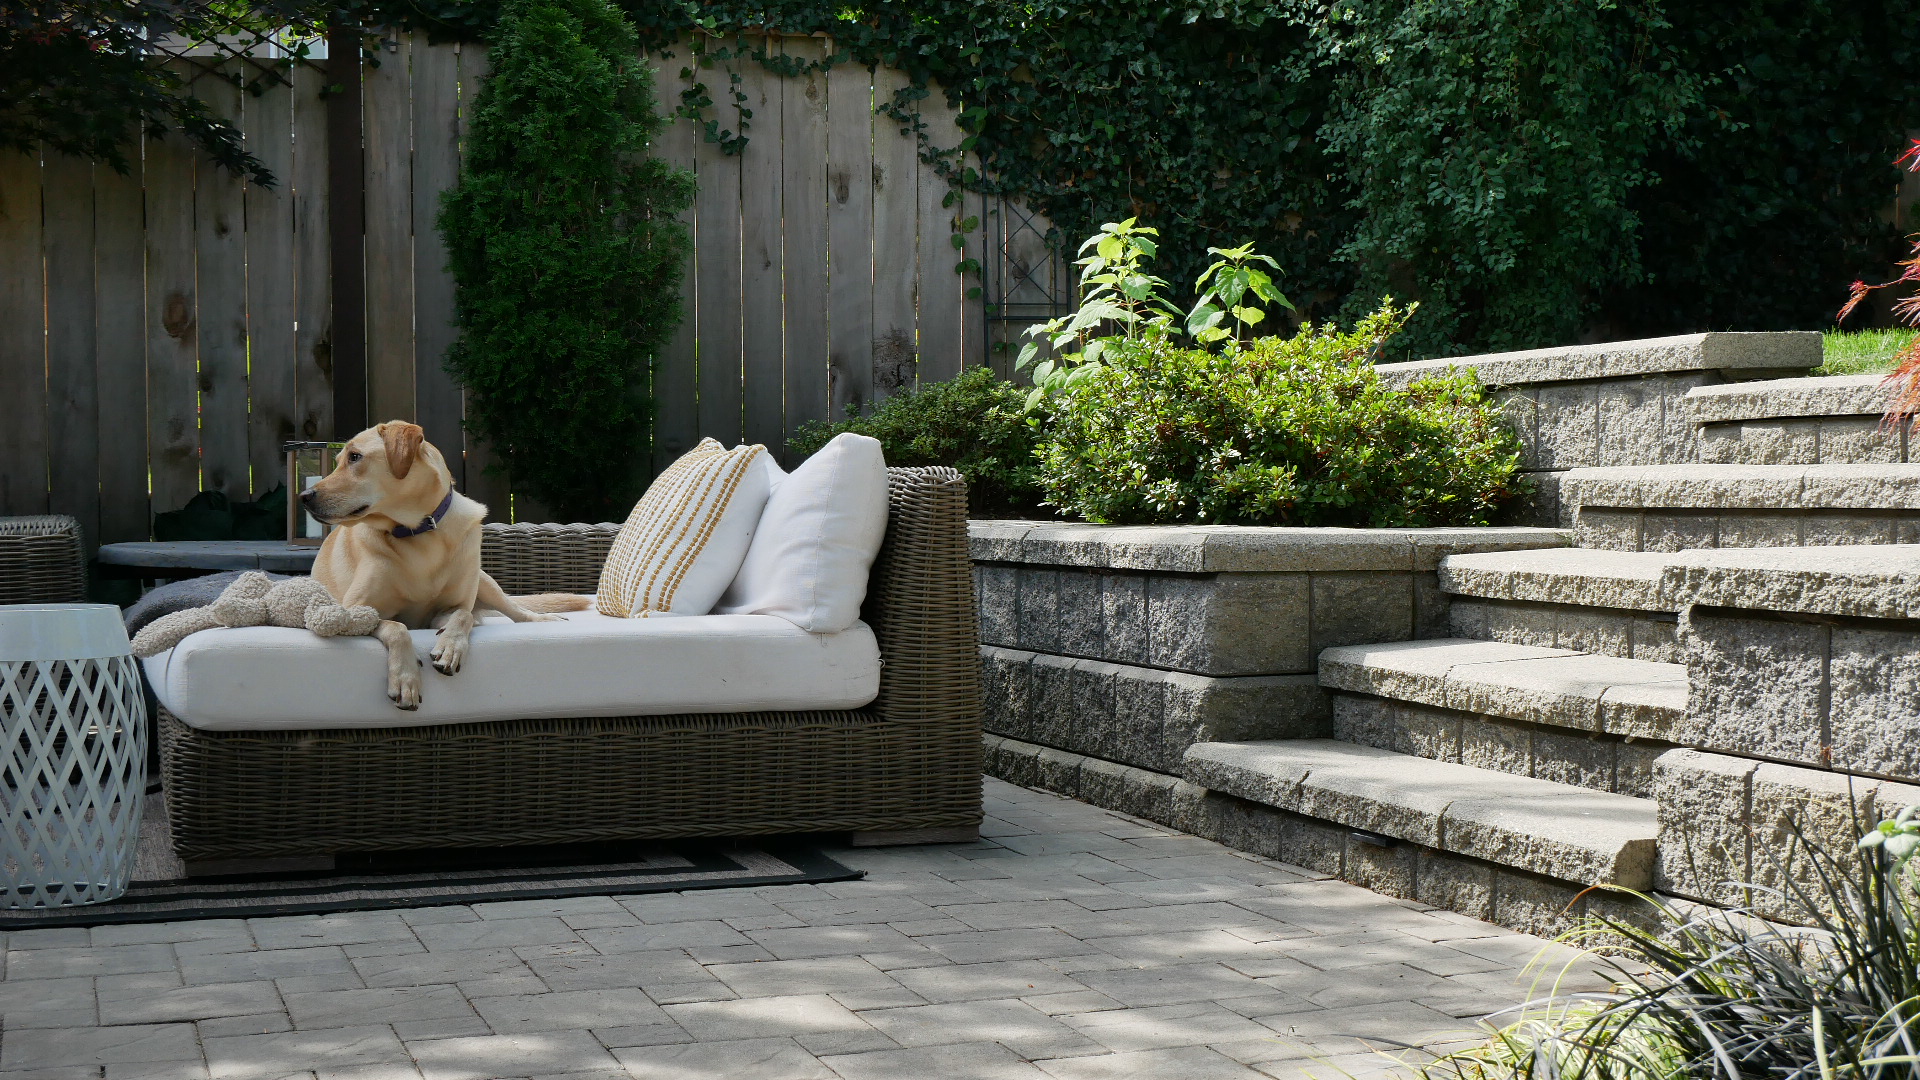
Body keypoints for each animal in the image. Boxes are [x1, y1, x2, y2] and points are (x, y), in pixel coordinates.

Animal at [303, 420, 587, 707]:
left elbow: (463, 615)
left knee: (516, 610)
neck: (417, 532)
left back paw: (542, 618)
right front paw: (405, 677)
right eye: (339, 460)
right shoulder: (352, 612)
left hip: (484, 581)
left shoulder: (446, 611)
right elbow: (397, 627)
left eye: (354, 457)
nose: (304, 496)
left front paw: (450, 647)